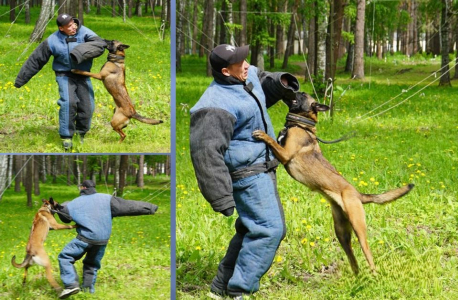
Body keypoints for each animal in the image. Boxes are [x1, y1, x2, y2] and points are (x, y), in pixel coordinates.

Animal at [252, 92, 414, 276]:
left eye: (302, 95)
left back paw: (373, 276)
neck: (302, 125)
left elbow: (272, 141)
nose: (295, 89)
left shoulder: (285, 154)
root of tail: (358, 195)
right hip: (342, 232)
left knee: (368, 254)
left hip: (358, 227)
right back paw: (357, 278)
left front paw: (263, 135)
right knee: (353, 260)